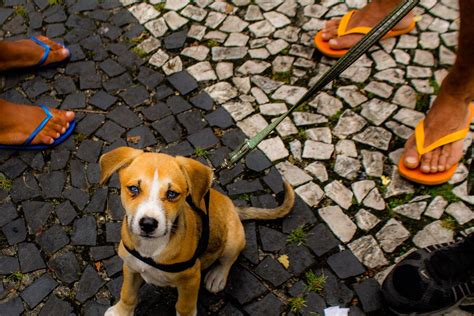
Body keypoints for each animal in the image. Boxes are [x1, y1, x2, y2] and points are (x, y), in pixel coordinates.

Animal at [99, 147, 292, 314]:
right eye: (134, 189)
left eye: (172, 194)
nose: (147, 224)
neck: (151, 248)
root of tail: (233, 207)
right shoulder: (130, 267)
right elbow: (128, 295)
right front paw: (120, 312)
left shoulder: (191, 278)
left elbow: (184, 307)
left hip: (233, 241)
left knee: (228, 259)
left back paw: (217, 276)